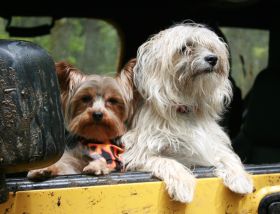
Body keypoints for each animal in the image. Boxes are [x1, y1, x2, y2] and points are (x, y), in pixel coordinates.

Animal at [120, 22, 254, 203]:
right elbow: (168, 162)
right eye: (185, 48)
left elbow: (228, 156)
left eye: (211, 47)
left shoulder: (209, 145)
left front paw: (240, 178)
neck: (186, 107)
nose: (213, 58)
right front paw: (183, 183)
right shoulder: (139, 153)